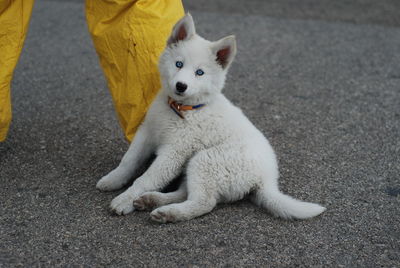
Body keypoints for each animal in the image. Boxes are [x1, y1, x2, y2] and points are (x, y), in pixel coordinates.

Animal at [96, 13, 324, 223]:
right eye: (178, 64)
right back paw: (152, 201)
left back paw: (168, 212)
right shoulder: (148, 132)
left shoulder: (175, 151)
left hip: (206, 161)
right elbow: (129, 160)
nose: (181, 86)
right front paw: (113, 180)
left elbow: (147, 178)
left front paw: (124, 200)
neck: (182, 107)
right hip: (196, 165)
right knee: (186, 193)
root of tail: (266, 179)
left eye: (199, 73)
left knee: (203, 203)